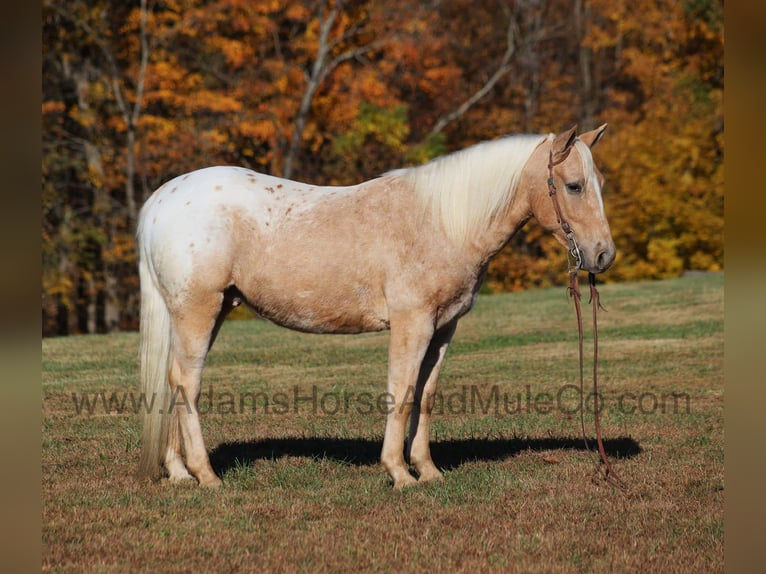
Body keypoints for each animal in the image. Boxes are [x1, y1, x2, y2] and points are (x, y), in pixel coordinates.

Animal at [136, 124, 615, 489]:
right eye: (574, 186)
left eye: (600, 185)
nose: (604, 255)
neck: (441, 221)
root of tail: (160, 202)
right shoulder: (412, 324)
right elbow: (401, 393)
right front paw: (399, 474)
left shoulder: (443, 329)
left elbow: (425, 395)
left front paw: (428, 471)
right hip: (198, 311)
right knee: (187, 383)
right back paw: (206, 476)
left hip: (205, 313)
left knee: (173, 380)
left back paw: (179, 473)